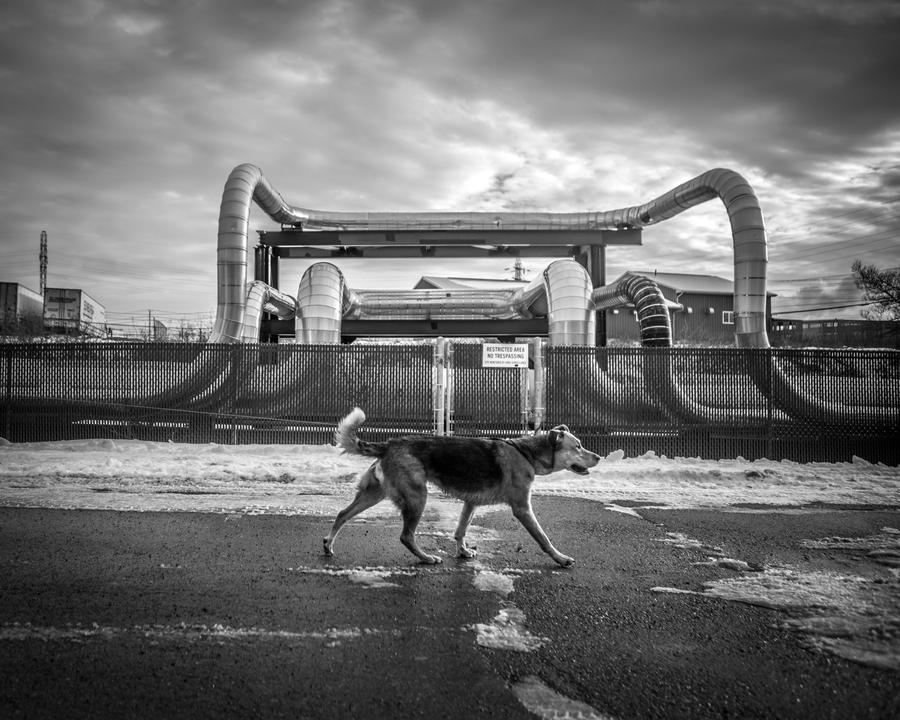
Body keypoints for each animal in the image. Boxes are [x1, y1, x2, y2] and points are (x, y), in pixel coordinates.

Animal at [322, 408, 596, 564]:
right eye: (578, 446)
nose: (599, 457)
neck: (526, 452)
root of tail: (389, 443)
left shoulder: (471, 503)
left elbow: (460, 531)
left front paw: (463, 552)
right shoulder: (522, 508)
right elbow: (543, 538)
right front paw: (560, 559)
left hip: (374, 494)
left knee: (342, 514)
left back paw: (328, 545)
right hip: (417, 497)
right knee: (406, 536)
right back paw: (426, 558)